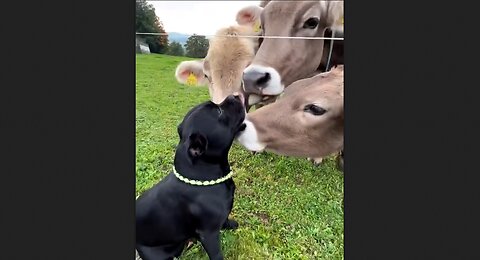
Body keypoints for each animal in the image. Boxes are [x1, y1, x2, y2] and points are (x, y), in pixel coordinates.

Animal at [136, 94, 246, 260]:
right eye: (219, 111)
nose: (233, 95)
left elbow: (226, 219)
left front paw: (230, 224)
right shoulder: (209, 234)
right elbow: (216, 254)